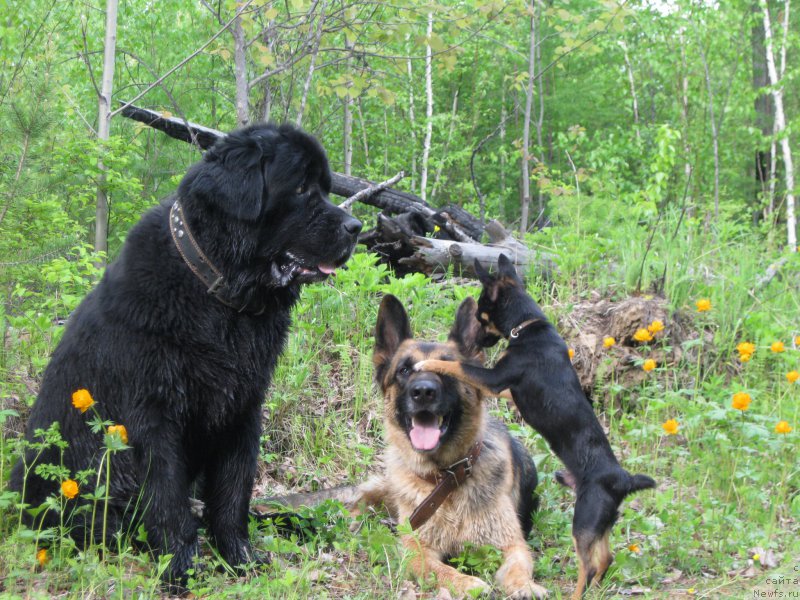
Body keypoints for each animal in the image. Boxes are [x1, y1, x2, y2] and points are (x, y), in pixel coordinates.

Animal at [8, 122, 360, 584]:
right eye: (301, 187)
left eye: (325, 187)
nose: (357, 226)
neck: (221, 298)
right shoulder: (153, 414)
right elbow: (166, 494)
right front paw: (180, 566)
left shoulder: (243, 405)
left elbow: (233, 492)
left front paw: (239, 557)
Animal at [352, 296, 548, 600]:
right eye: (404, 370)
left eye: (447, 371)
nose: (423, 392)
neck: (447, 478)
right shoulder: (416, 550)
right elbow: (440, 570)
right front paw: (468, 583)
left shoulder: (512, 544)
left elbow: (517, 567)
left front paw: (525, 586)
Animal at [416, 254, 652, 600]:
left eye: (481, 315)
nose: (477, 341)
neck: (528, 327)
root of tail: (623, 480)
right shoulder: (502, 389)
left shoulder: (494, 378)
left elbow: (458, 366)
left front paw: (429, 362)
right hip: (602, 522)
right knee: (605, 557)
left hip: (585, 518)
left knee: (588, 564)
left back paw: (576, 593)